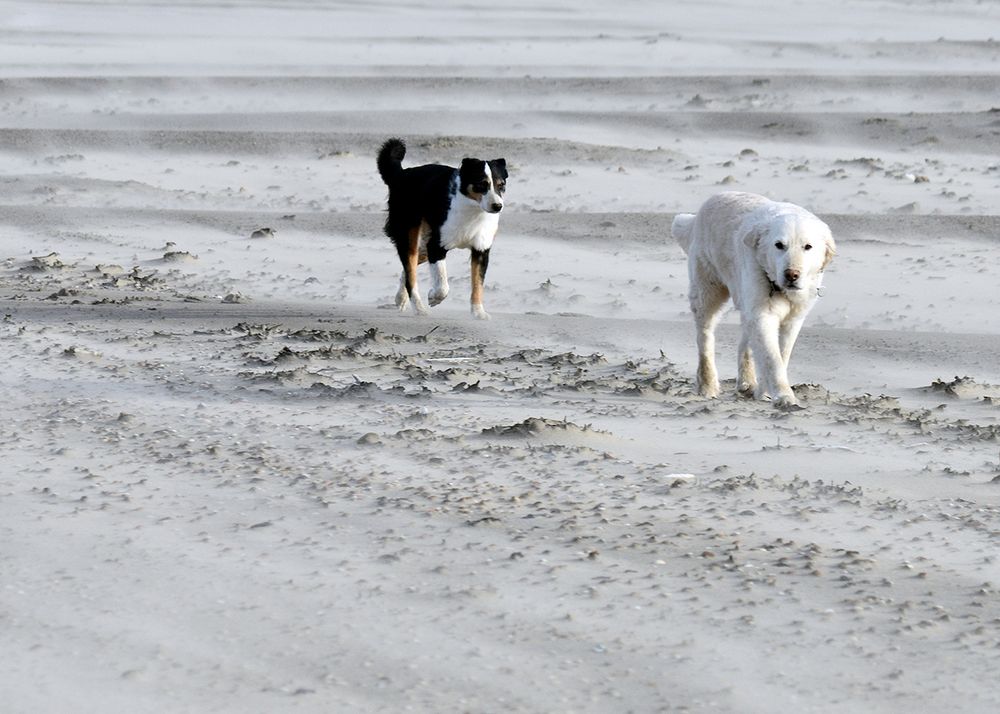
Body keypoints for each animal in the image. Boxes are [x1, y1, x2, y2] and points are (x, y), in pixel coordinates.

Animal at [376, 137, 508, 320]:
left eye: (501, 185)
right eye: (482, 184)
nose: (497, 206)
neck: (474, 211)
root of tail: (402, 175)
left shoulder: (481, 250)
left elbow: (477, 284)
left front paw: (478, 313)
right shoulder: (436, 246)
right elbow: (442, 284)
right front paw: (434, 297)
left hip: (424, 243)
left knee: (409, 270)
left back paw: (400, 298)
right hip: (410, 236)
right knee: (410, 274)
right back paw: (419, 309)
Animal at [672, 192, 836, 408]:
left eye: (807, 247)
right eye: (779, 245)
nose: (791, 274)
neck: (779, 287)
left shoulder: (793, 319)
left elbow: (780, 355)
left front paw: (765, 392)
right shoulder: (763, 315)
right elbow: (772, 359)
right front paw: (784, 396)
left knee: (745, 343)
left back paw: (747, 383)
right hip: (707, 292)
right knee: (705, 338)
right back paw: (708, 386)